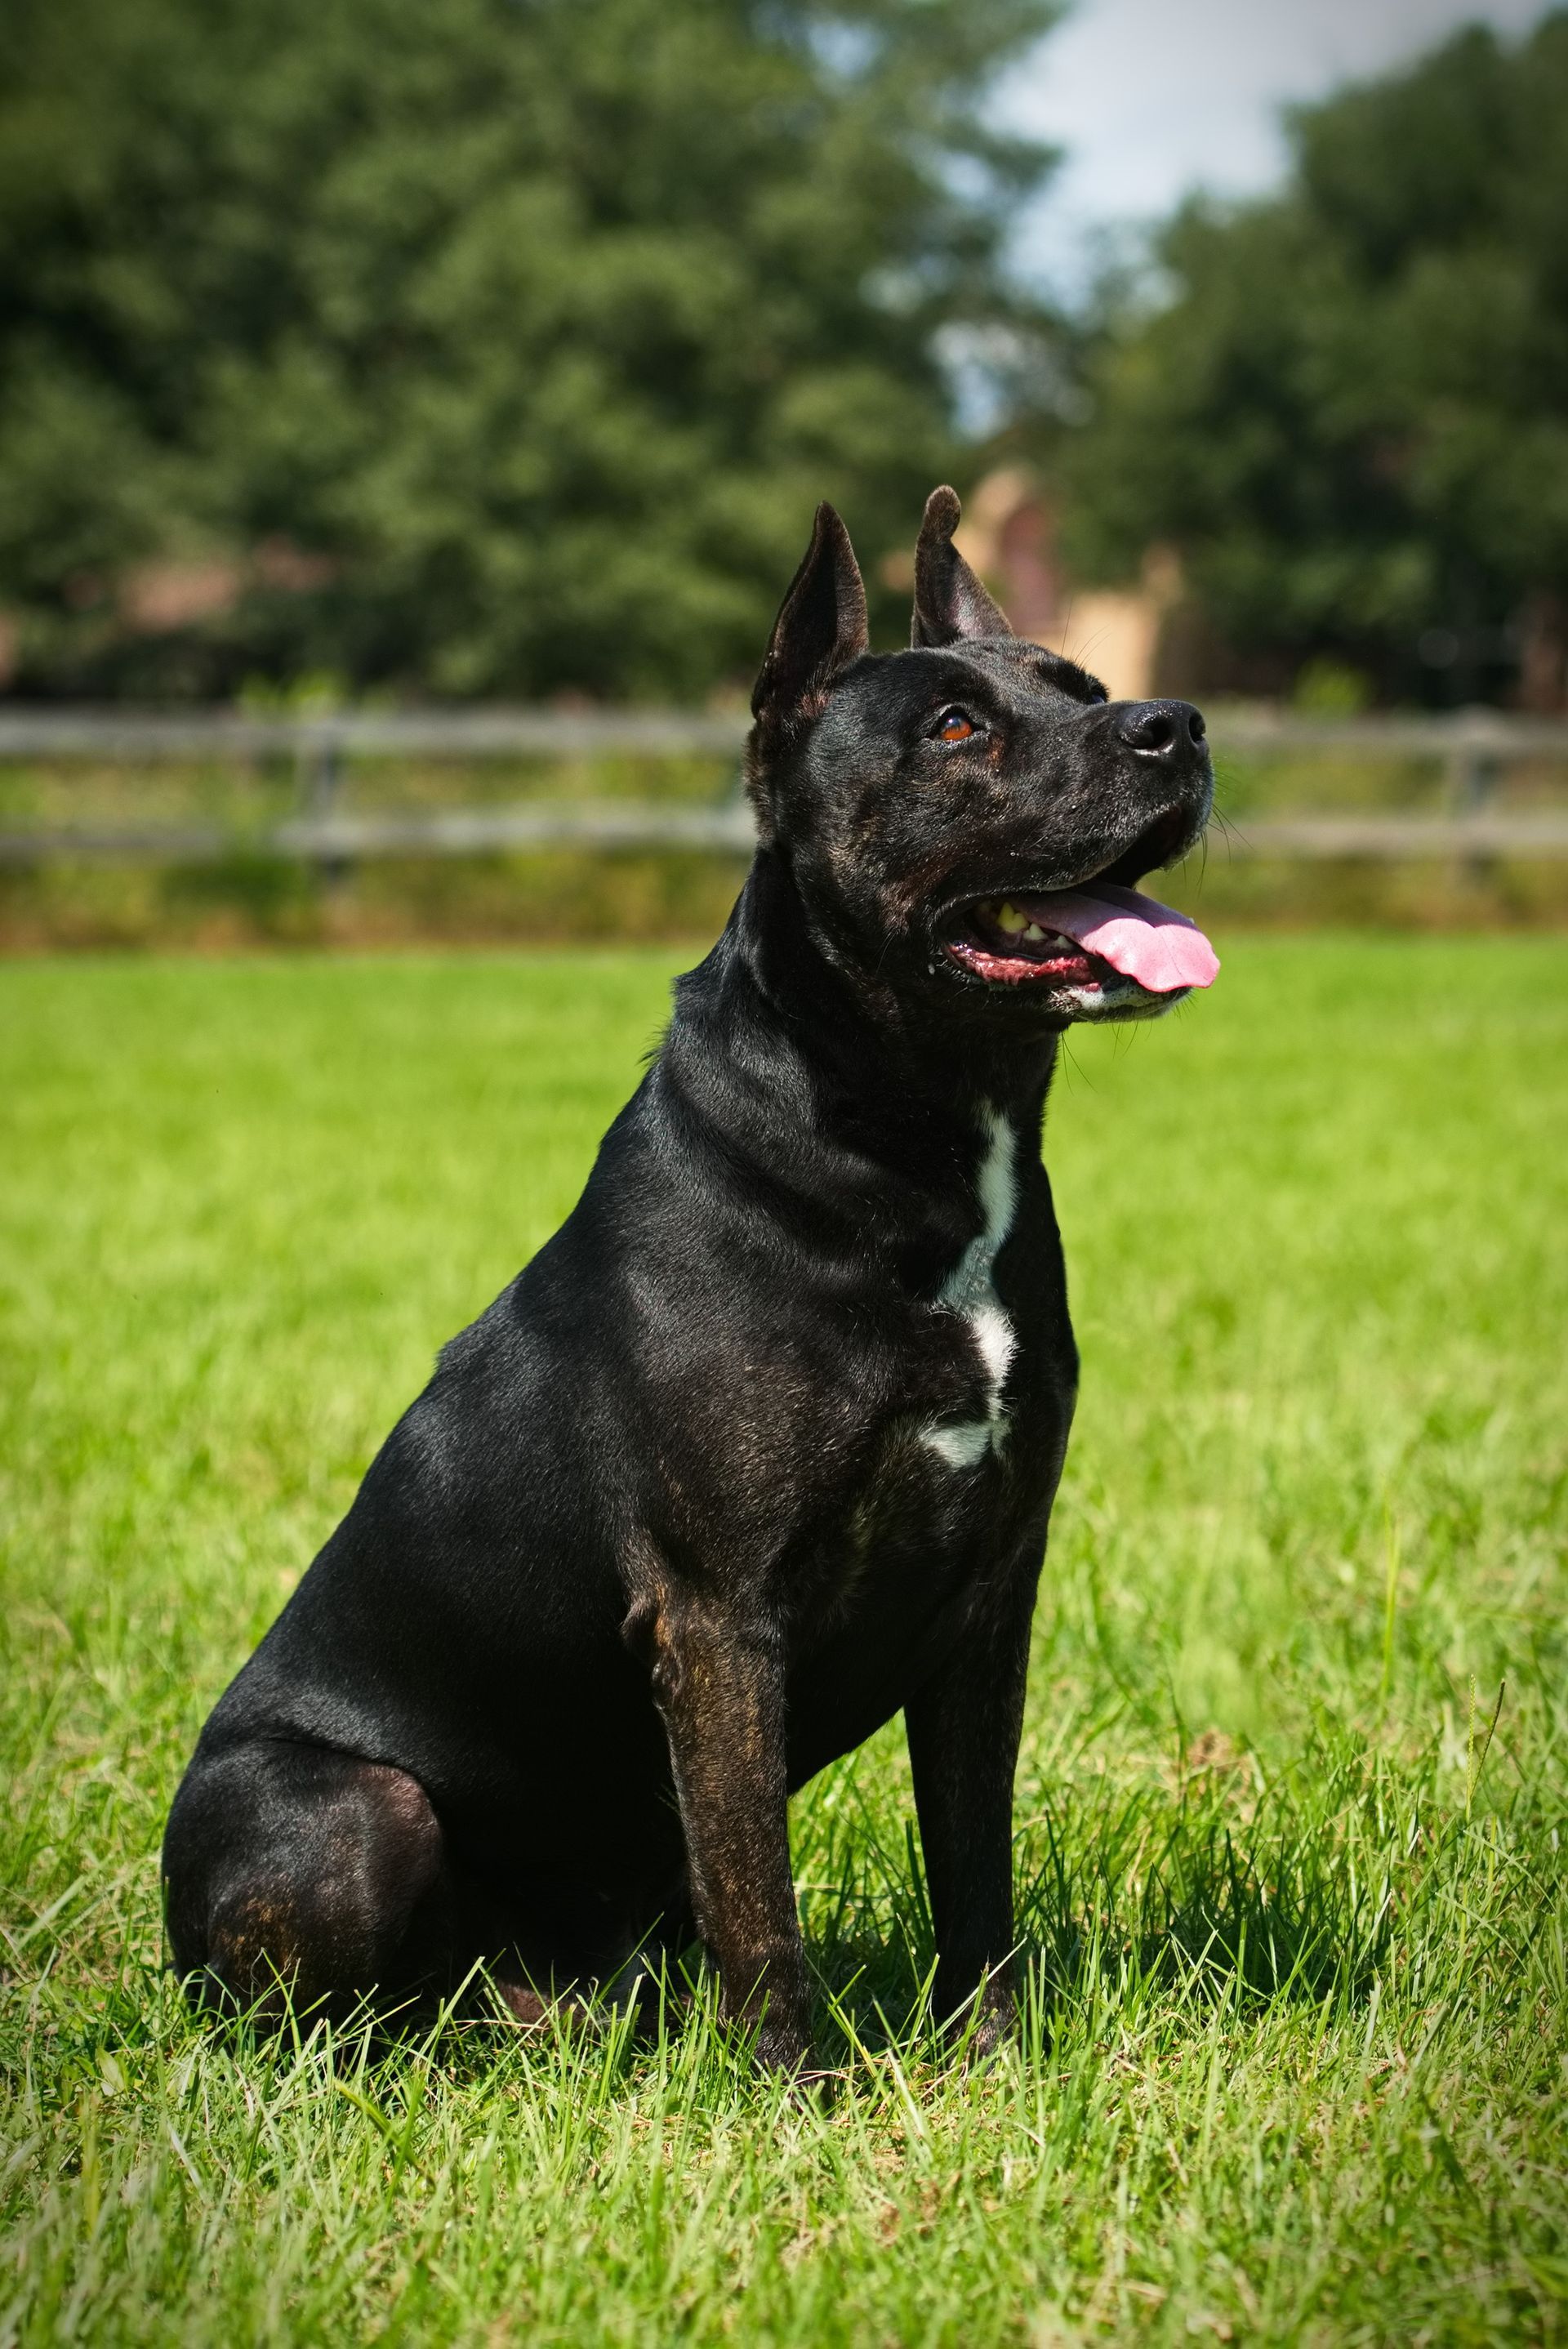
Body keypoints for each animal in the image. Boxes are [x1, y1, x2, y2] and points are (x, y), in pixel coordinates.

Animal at [162, 486, 1211, 2066]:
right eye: (957, 727)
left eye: (1083, 689)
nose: (1176, 725)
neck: (911, 1126)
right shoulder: (719, 1613)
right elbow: (758, 1889)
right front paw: (801, 2082)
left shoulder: (990, 1596)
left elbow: (973, 1852)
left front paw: (994, 2055)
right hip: (346, 1810)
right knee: (324, 2013)